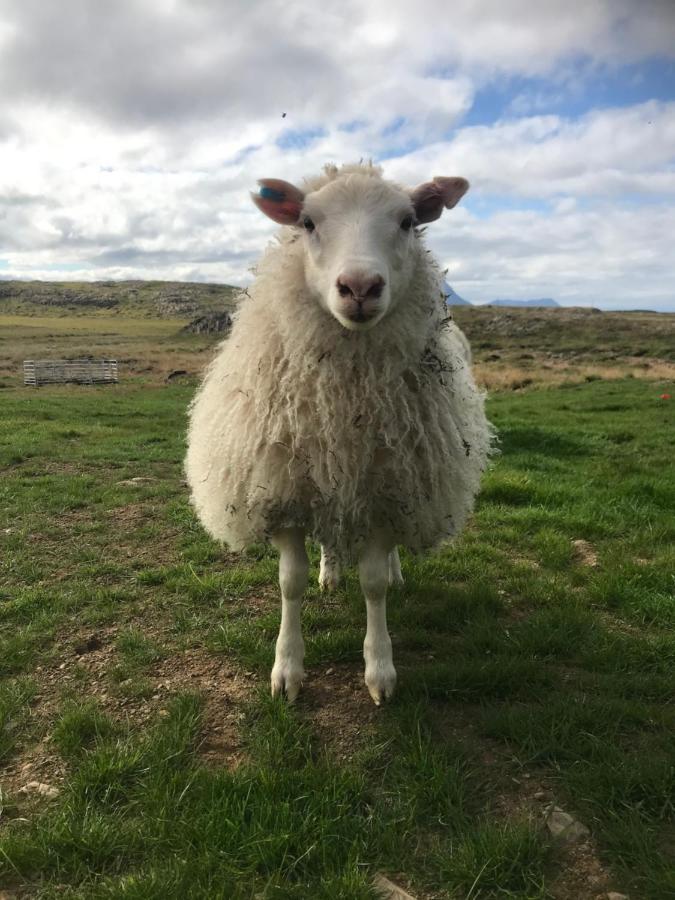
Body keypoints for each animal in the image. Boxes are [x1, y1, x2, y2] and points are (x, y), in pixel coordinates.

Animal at [185, 165, 492, 708]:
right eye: (307, 222)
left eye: (408, 221)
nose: (360, 286)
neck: (343, 402)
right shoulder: (283, 489)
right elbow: (290, 582)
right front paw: (287, 670)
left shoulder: (391, 490)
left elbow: (373, 584)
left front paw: (380, 670)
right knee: (327, 540)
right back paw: (329, 572)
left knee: (382, 562)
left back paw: (394, 572)